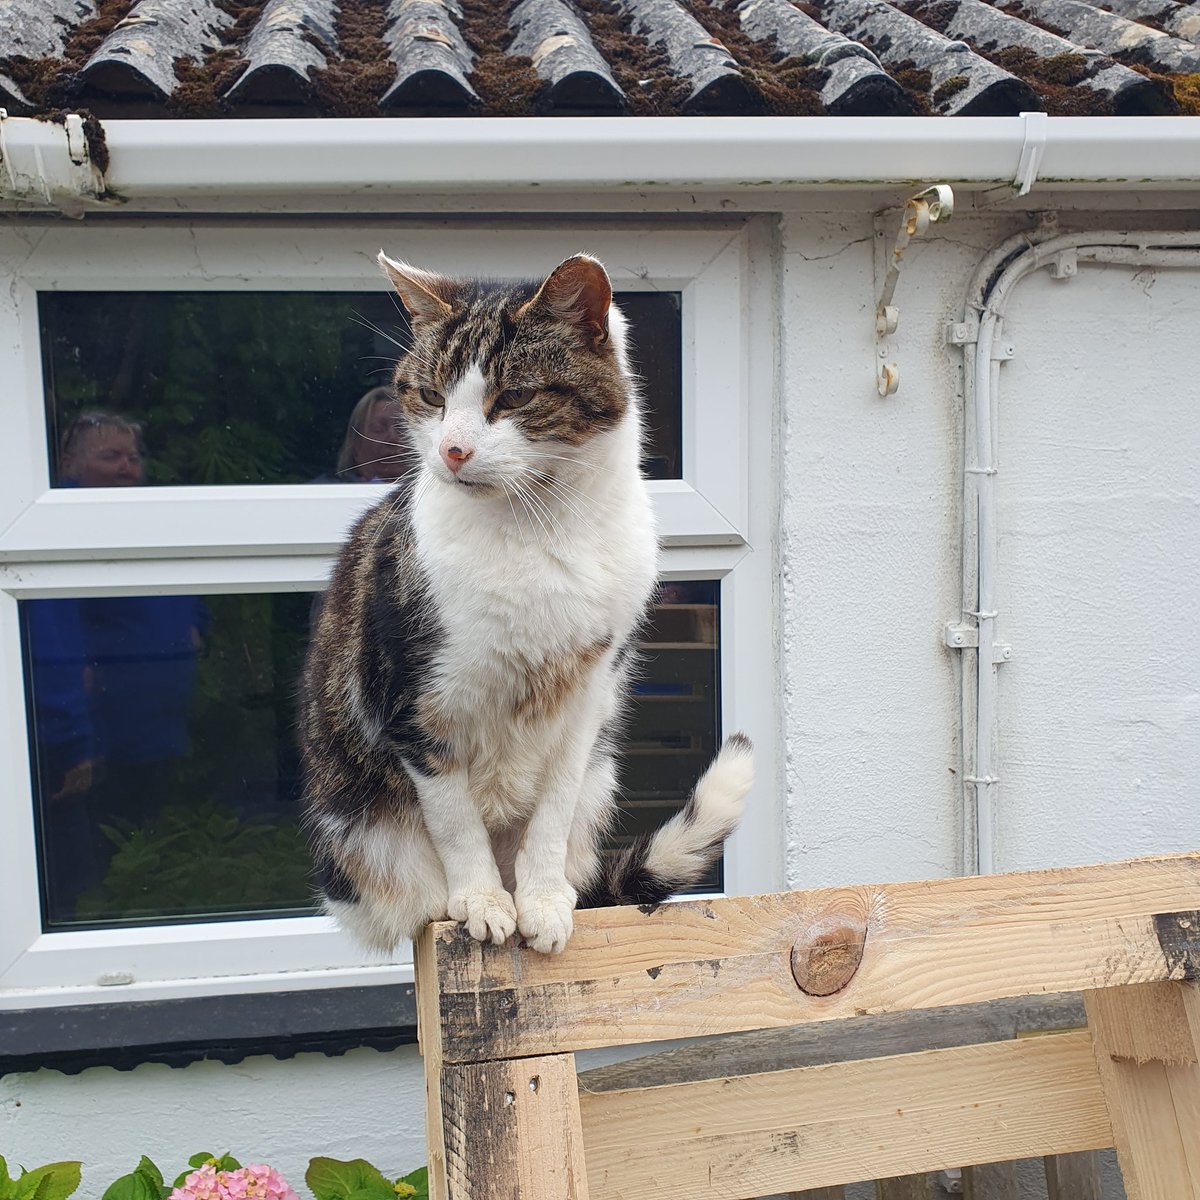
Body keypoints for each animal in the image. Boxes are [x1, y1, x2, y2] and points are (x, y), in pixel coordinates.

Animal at [297, 253, 748, 955]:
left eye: (513, 397)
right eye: (431, 396)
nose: (451, 450)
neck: (539, 528)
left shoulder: (589, 690)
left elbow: (553, 808)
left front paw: (540, 900)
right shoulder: (413, 702)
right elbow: (454, 817)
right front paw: (483, 902)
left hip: (599, 780)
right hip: (372, 842)